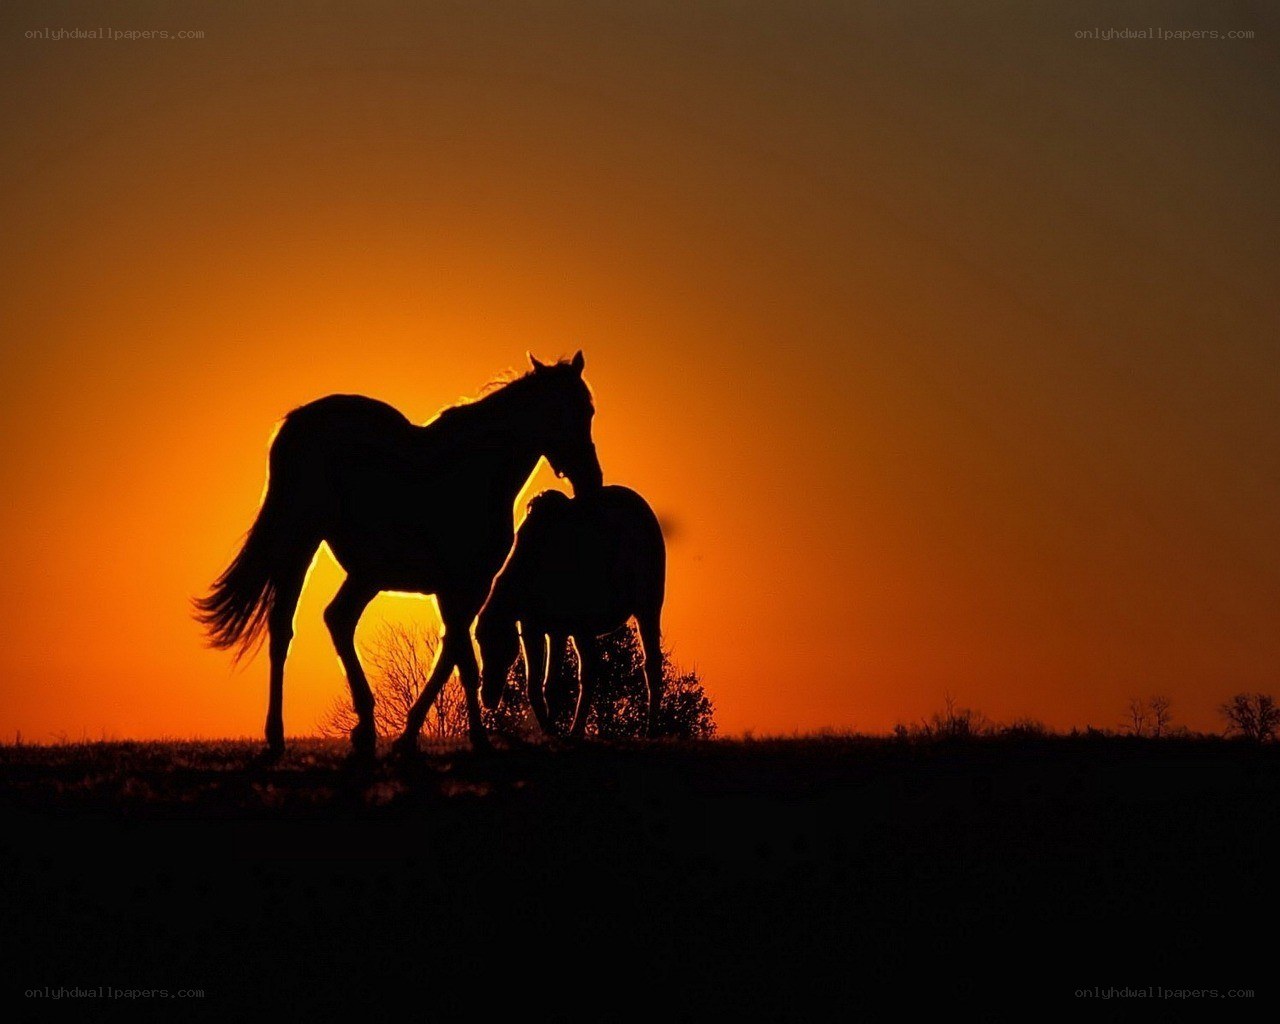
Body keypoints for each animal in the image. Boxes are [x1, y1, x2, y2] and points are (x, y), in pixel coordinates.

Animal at [194, 352, 602, 759]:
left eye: (589, 410)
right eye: (564, 410)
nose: (591, 481)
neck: (479, 472)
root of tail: (297, 421)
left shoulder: (459, 590)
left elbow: (450, 656)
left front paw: (411, 735)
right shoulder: (464, 586)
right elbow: (463, 661)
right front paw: (474, 738)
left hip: (366, 573)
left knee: (337, 619)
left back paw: (364, 729)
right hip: (303, 541)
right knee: (284, 627)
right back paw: (278, 736)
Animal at [476, 485, 666, 738]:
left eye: (499, 644)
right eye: (479, 642)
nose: (487, 695)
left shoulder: (563, 628)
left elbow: (555, 685)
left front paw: (554, 731)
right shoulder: (533, 627)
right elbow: (536, 686)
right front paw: (550, 730)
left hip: (648, 606)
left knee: (650, 664)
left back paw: (650, 730)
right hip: (583, 628)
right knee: (589, 671)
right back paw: (576, 729)